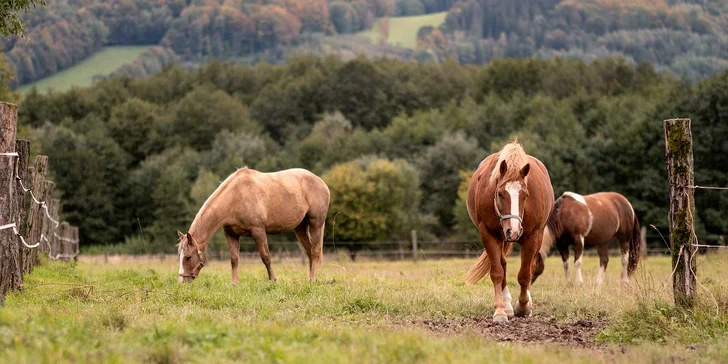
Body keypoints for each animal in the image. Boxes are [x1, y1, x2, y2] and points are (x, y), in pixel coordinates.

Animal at [178, 168, 332, 284]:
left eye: (188, 257)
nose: (182, 282)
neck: (235, 198)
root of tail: (321, 182)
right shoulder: (231, 234)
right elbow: (234, 259)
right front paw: (234, 283)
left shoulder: (258, 231)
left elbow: (266, 257)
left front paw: (273, 280)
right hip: (300, 228)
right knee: (309, 251)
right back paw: (311, 278)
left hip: (316, 224)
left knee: (315, 251)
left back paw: (312, 279)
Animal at [464, 141, 556, 322]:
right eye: (500, 194)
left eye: (525, 195)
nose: (513, 231)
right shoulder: (488, 234)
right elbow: (497, 272)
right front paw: (500, 310)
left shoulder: (532, 236)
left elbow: (525, 274)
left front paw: (523, 306)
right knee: (503, 265)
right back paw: (506, 305)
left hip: (537, 236)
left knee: (531, 266)